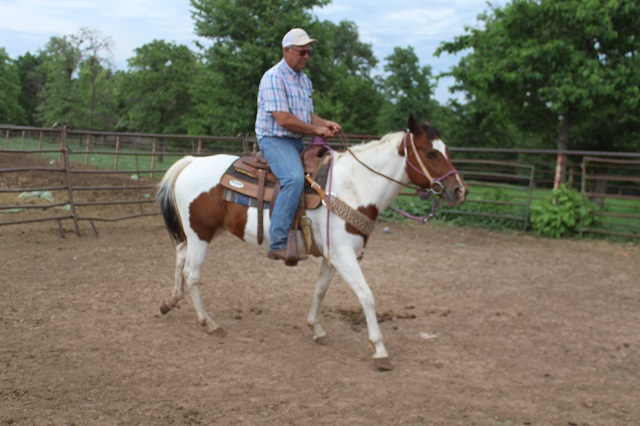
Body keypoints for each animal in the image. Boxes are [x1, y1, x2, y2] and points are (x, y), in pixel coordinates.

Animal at [155, 116, 464, 370]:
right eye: (431, 153)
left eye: (447, 151)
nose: (460, 190)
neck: (354, 187)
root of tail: (192, 162)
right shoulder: (343, 256)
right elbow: (366, 295)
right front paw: (379, 350)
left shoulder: (333, 255)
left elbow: (319, 291)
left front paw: (316, 328)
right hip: (201, 234)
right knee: (192, 273)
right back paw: (209, 322)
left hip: (203, 232)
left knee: (180, 254)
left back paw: (170, 302)